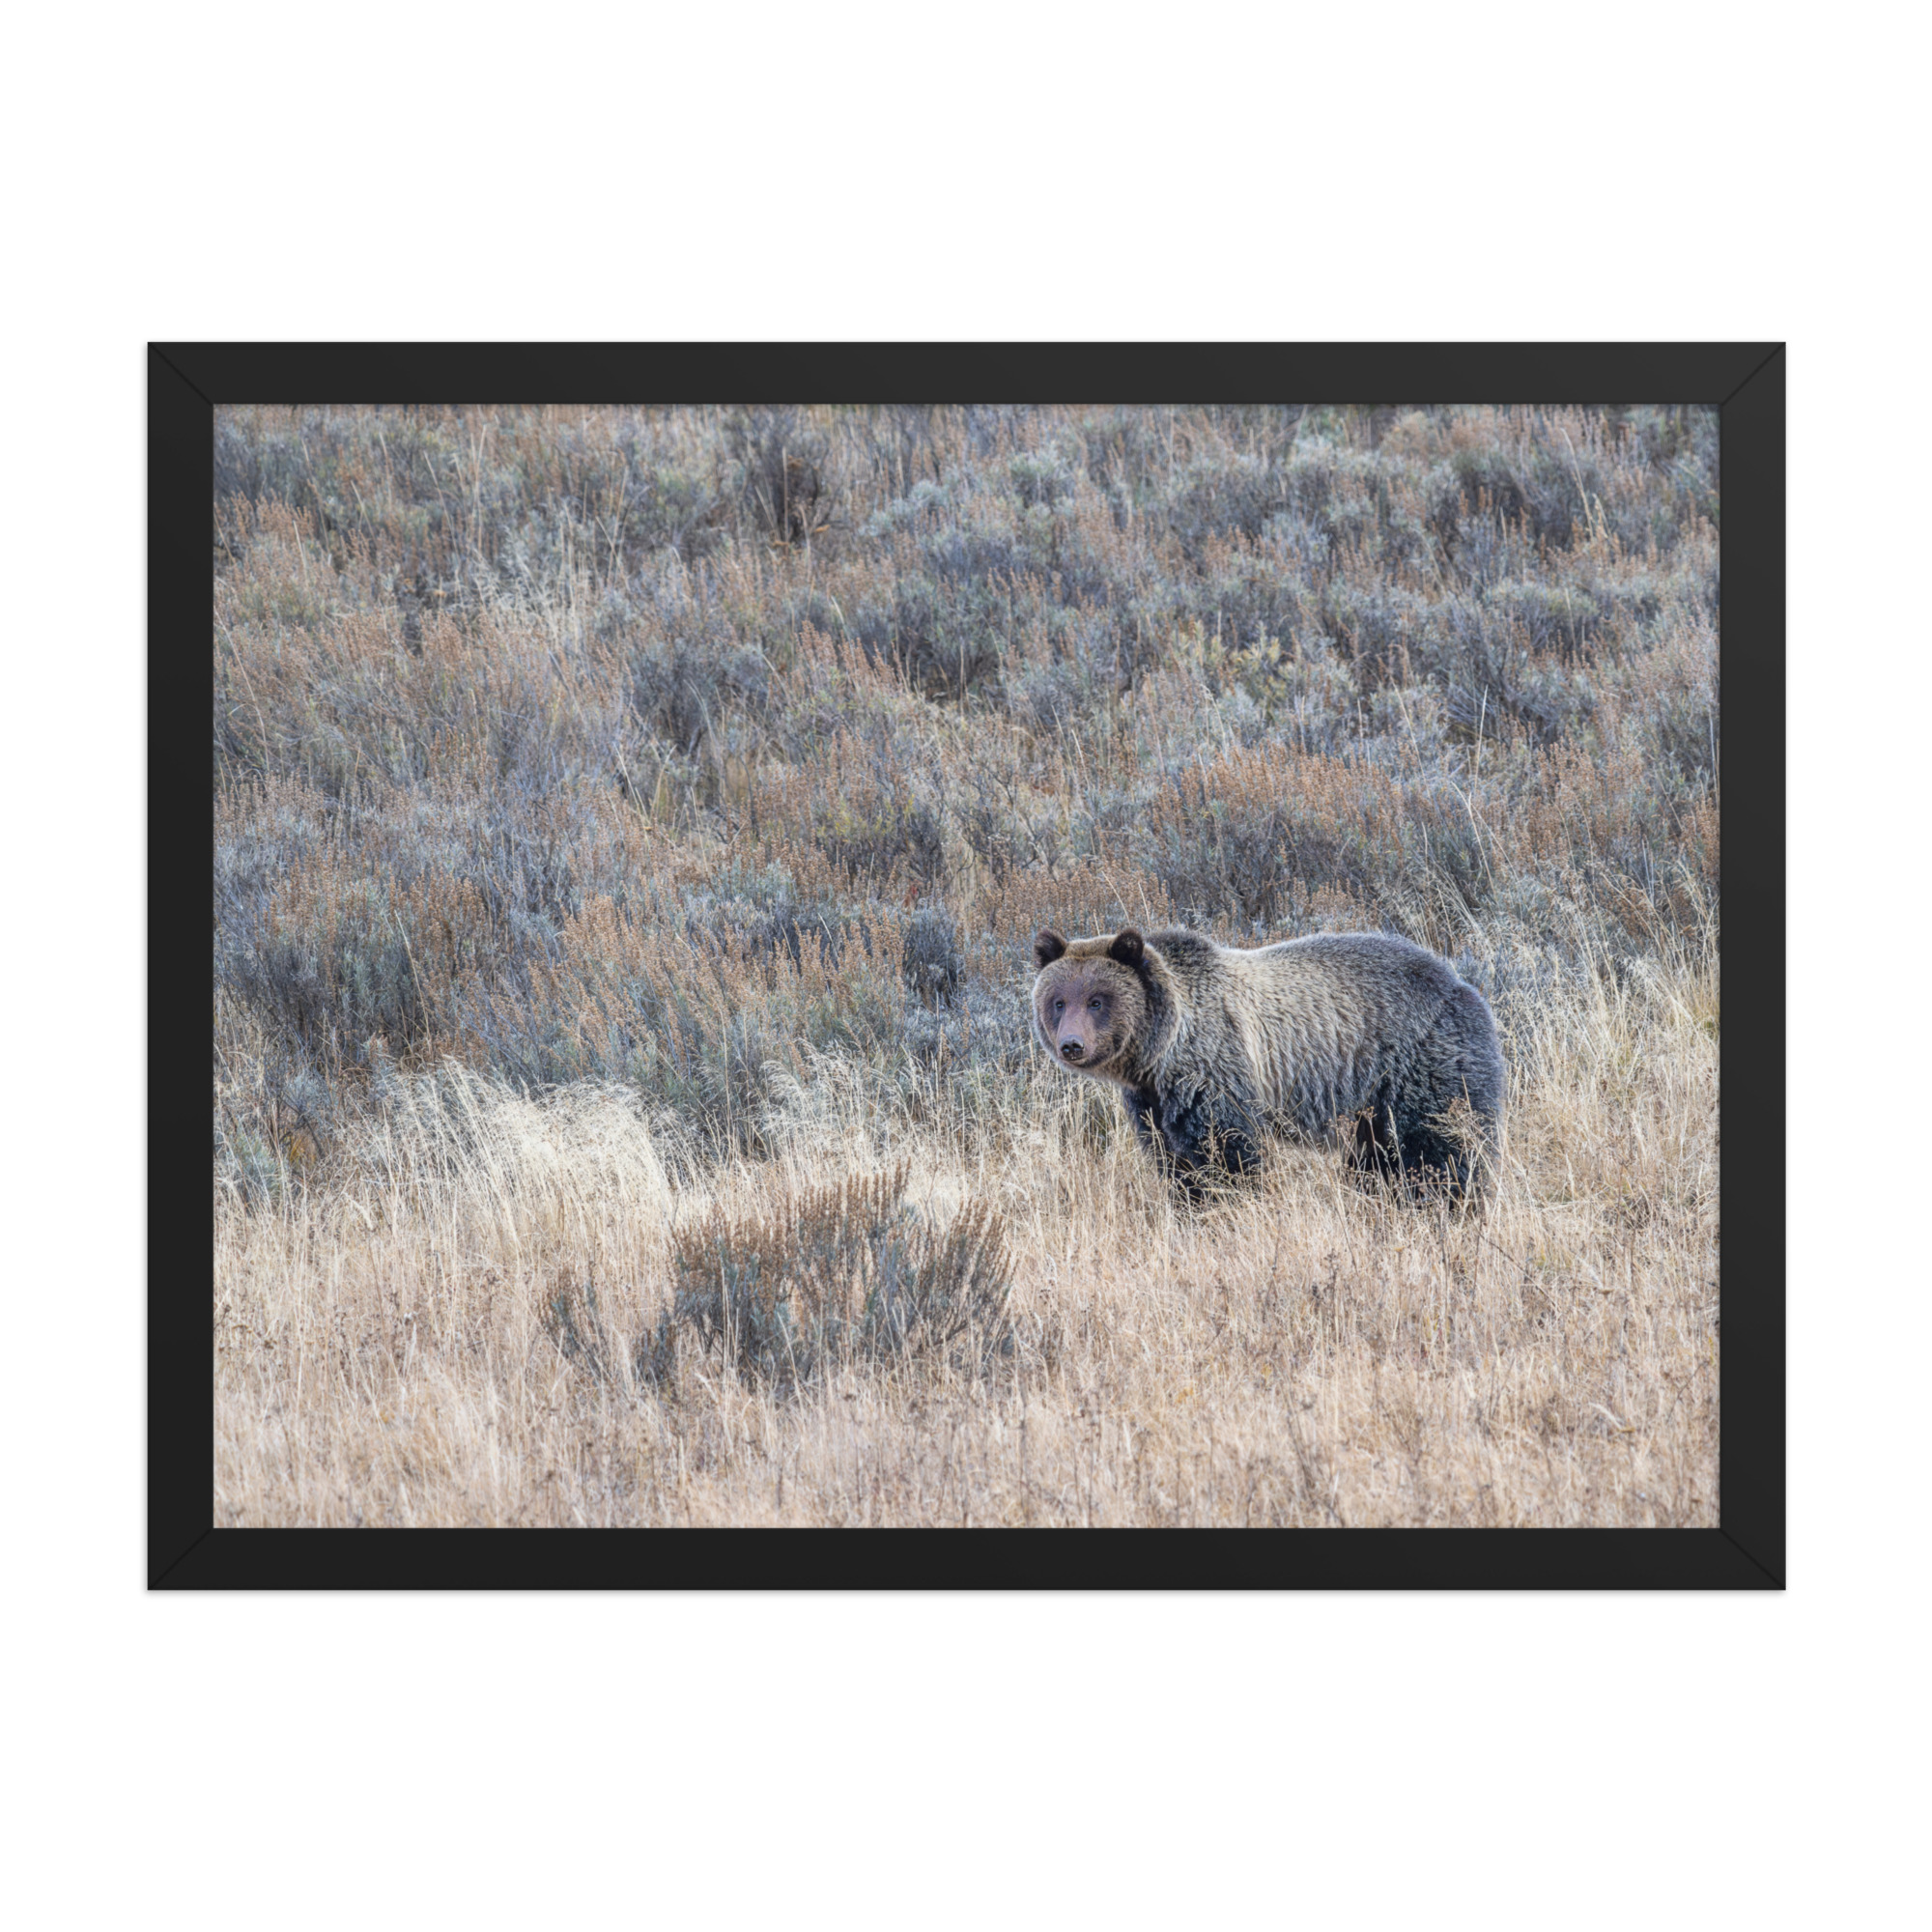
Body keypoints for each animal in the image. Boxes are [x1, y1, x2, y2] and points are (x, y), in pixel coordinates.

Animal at [1030, 925, 1503, 1200]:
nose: (1072, 1045)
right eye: (1059, 1001)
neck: (1159, 1054)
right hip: (1371, 1105)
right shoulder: (1152, 1103)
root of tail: (1462, 983)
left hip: (1422, 1064)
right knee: (1377, 1160)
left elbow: (1228, 1154)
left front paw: (1230, 1204)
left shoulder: (1215, 1071)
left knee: (1441, 1148)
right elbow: (1174, 1162)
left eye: (1097, 1000)